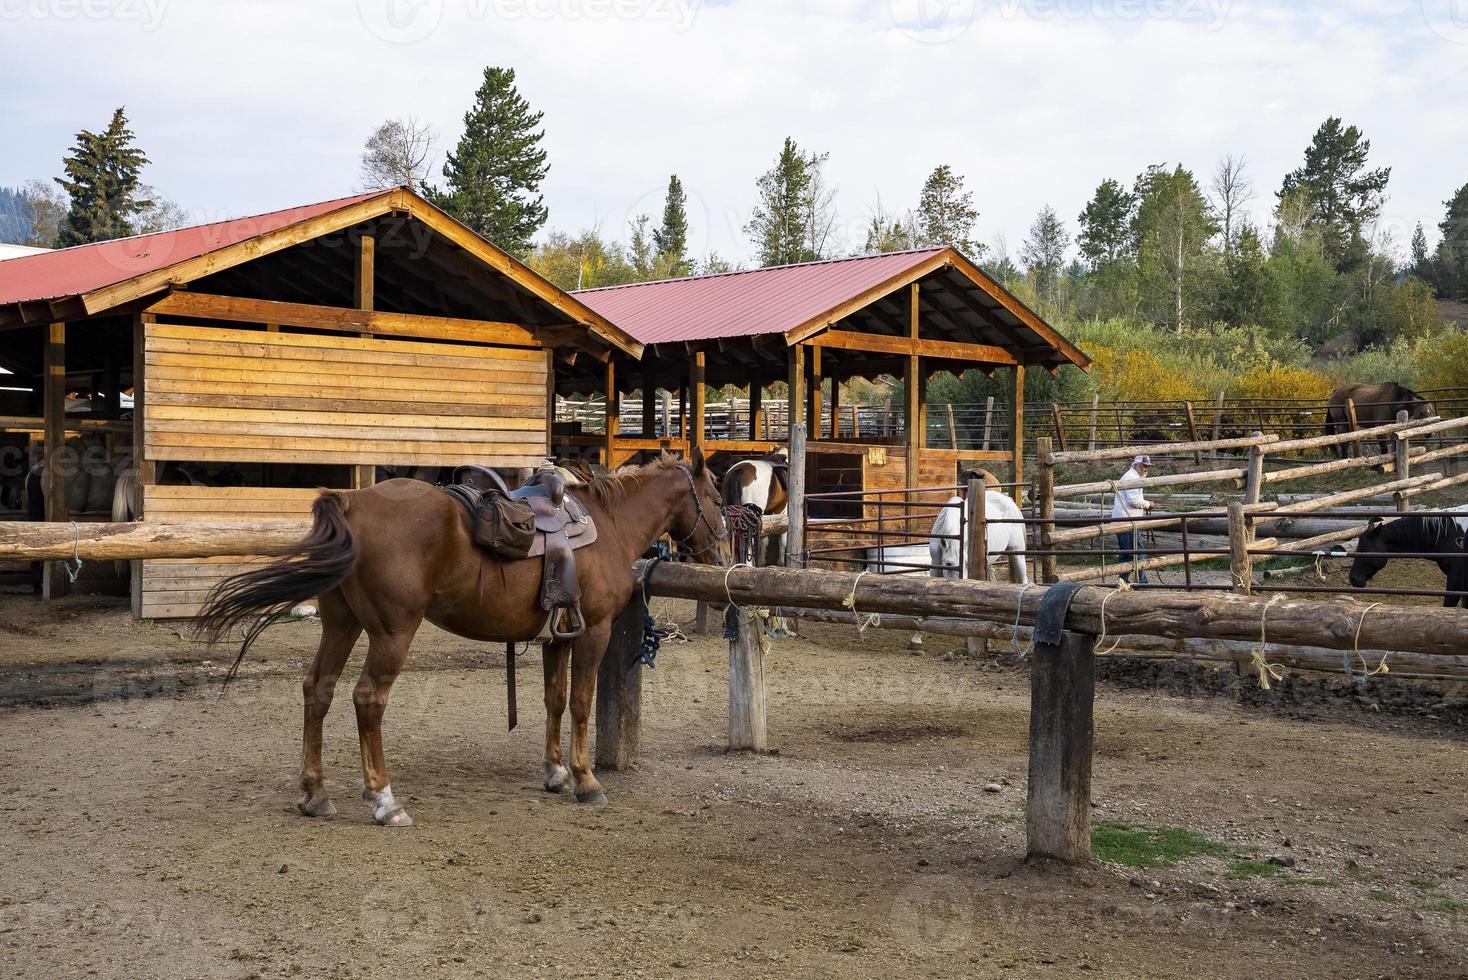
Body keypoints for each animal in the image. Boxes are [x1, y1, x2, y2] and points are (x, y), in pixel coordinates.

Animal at [198, 451, 725, 827]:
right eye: (718, 500)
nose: (721, 557)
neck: (609, 525)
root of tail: (352, 501)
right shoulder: (593, 631)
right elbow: (580, 702)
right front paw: (586, 780)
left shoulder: (558, 636)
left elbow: (554, 700)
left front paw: (555, 772)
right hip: (393, 631)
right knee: (367, 699)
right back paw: (385, 800)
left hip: (341, 624)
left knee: (318, 690)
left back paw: (315, 793)